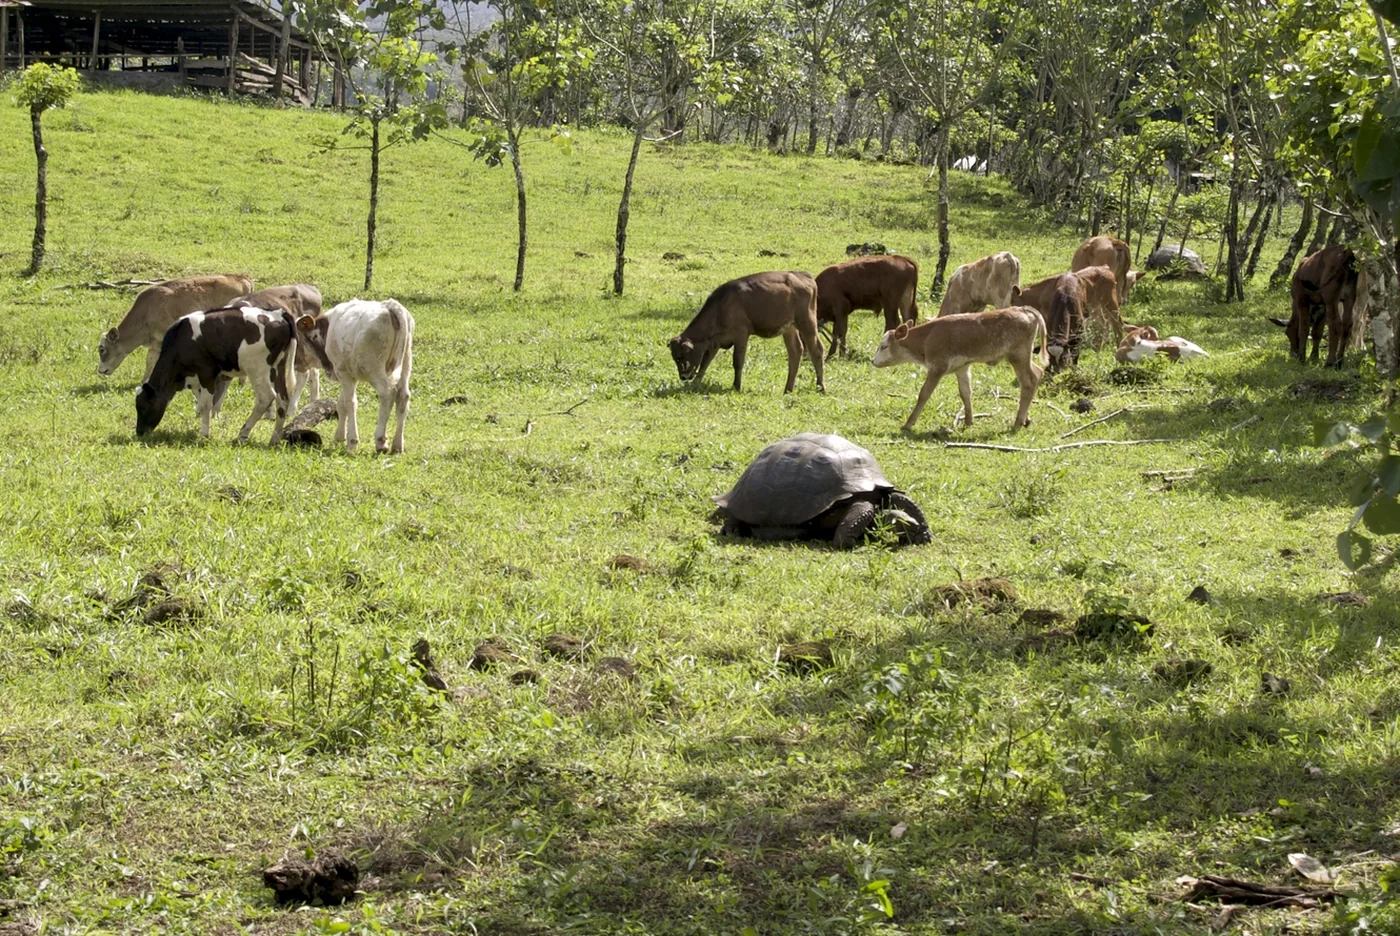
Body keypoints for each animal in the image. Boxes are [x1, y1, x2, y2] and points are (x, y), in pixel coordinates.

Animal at [98, 274, 254, 379]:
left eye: (102, 349)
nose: (100, 371)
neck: (146, 312)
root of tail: (242, 277)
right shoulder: (156, 343)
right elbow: (150, 361)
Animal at [134, 305, 296, 445]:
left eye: (142, 407)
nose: (139, 432)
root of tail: (279, 314)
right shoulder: (196, 380)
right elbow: (201, 403)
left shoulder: (207, 372)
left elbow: (206, 404)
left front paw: (204, 434)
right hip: (278, 367)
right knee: (282, 400)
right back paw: (274, 439)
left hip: (256, 368)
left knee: (266, 397)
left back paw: (242, 434)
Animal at [294, 299, 415, 454]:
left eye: (300, 341)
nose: (296, 363)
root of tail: (391, 306)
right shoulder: (346, 372)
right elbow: (341, 404)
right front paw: (339, 436)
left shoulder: (343, 373)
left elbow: (350, 403)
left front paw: (352, 442)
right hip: (406, 362)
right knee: (403, 397)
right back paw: (398, 445)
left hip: (373, 368)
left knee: (387, 394)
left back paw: (381, 441)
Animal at [669, 271, 825, 393]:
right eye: (674, 357)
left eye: (680, 357)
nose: (683, 377)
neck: (721, 306)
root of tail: (803, 275)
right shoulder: (715, 341)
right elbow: (705, 362)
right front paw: (695, 383)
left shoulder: (741, 334)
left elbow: (738, 362)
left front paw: (736, 386)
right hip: (789, 328)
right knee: (795, 352)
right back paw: (788, 389)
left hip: (807, 322)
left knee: (816, 350)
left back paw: (820, 387)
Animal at [871, 306, 1048, 432]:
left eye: (884, 346)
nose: (873, 361)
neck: (928, 337)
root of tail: (1024, 309)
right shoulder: (962, 368)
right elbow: (965, 392)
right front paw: (969, 421)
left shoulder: (937, 367)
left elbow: (924, 394)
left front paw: (908, 423)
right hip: (1023, 356)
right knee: (1038, 373)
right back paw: (1026, 419)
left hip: (1018, 356)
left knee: (1028, 382)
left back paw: (1018, 422)